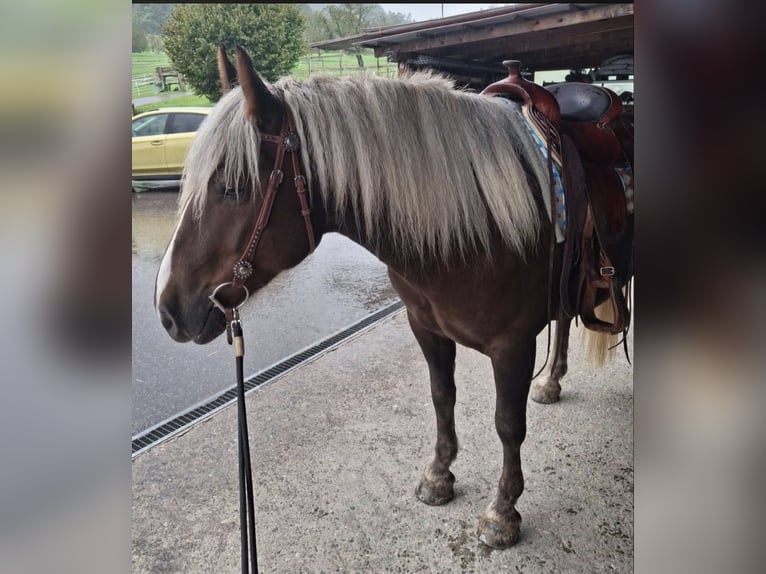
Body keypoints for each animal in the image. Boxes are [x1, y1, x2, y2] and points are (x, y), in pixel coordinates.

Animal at [155, 45, 632, 549]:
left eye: (233, 188)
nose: (167, 310)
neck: (479, 223)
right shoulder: (426, 327)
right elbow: (442, 397)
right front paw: (439, 476)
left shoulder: (513, 347)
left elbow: (507, 424)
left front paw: (502, 512)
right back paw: (551, 382)